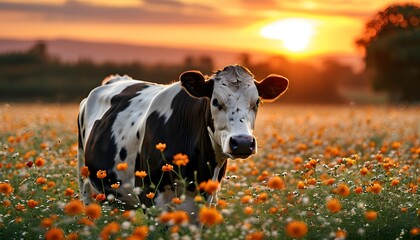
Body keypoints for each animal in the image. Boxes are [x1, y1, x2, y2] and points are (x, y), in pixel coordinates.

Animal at [76, 65, 288, 218]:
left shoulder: (205, 200)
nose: (243, 142)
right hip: (86, 183)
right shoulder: (150, 196)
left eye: (257, 102)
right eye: (215, 101)